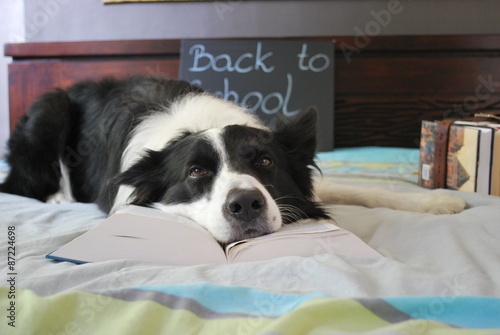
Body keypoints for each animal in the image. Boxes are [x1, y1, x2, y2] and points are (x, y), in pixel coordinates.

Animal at [1, 76, 466, 244]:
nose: (246, 204)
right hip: (49, 109)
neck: (199, 123)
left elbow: (361, 188)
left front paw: (436, 200)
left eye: (264, 163)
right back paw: (59, 197)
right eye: (196, 172)